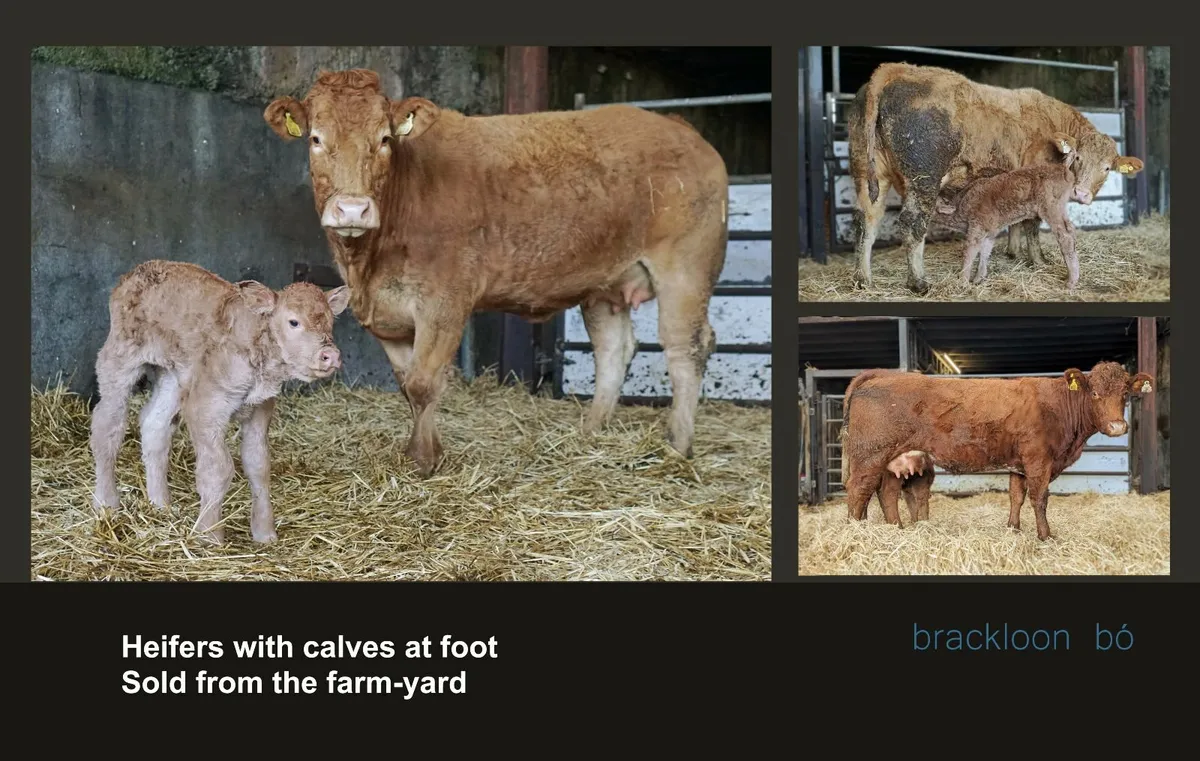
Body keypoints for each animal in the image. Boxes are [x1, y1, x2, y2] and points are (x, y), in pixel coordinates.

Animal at [89, 260, 350, 544]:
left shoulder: (261, 408)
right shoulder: (206, 406)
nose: (330, 354)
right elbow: (218, 468)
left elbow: (258, 465)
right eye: (293, 321)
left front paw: (264, 532)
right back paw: (107, 502)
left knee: (155, 426)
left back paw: (161, 504)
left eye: (330, 322)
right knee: (107, 426)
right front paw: (209, 534)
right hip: (119, 359)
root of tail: (139, 271)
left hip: (173, 377)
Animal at [262, 69, 729, 477]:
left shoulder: (445, 304)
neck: (369, 264)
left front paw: (425, 461)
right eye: (316, 138)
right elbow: (407, 384)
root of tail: (678, 126)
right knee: (614, 348)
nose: (352, 209)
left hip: (686, 268)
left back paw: (678, 446)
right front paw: (422, 452)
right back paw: (591, 431)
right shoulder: (388, 318)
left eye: (384, 139)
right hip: (605, 283)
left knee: (687, 347)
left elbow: (424, 383)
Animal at [839, 362, 1154, 540]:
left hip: (895, 459)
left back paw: (896, 529)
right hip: (870, 455)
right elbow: (1040, 499)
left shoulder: (1020, 464)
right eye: (1095, 393)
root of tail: (880, 375)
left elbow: (1016, 496)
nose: (1117, 427)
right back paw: (855, 532)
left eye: (1125, 393)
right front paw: (1046, 536)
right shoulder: (1038, 460)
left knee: (886, 493)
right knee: (858, 489)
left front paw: (1013, 529)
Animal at [934, 142, 1083, 289]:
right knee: (1071, 230)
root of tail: (1062, 166)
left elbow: (969, 253)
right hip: (1060, 208)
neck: (962, 204)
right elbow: (985, 252)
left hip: (1051, 208)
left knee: (1065, 236)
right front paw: (978, 278)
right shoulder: (990, 232)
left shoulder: (976, 229)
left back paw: (1071, 281)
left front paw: (963, 281)